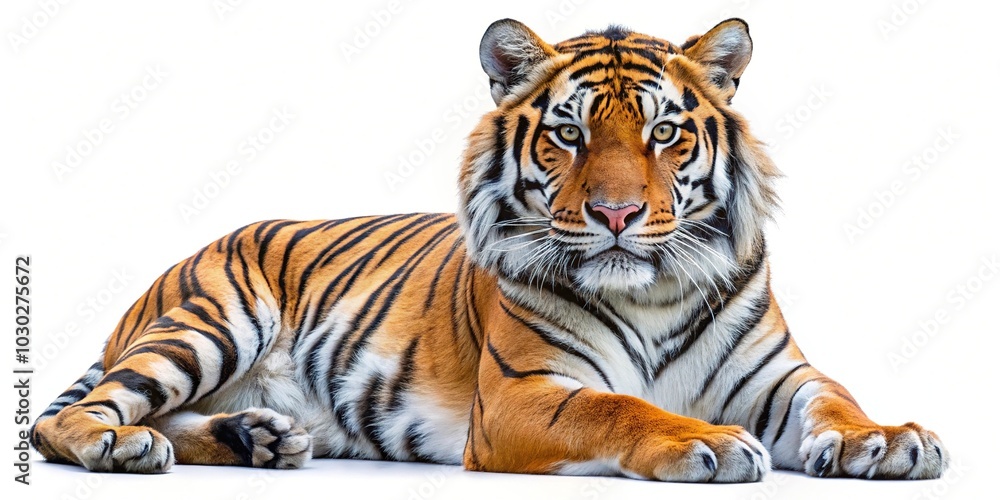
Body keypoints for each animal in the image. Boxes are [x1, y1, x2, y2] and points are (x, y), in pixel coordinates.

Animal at [31, 18, 948, 482]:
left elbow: (835, 400)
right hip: (209, 323)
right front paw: (711, 444)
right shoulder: (521, 393)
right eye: (569, 135)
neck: (653, 291)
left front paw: (887, 440)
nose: (617, 213)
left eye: (663, 134)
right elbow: (619, 407)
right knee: (73, 415)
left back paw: (256, 439)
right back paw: (119, 447)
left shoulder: (778, 377)